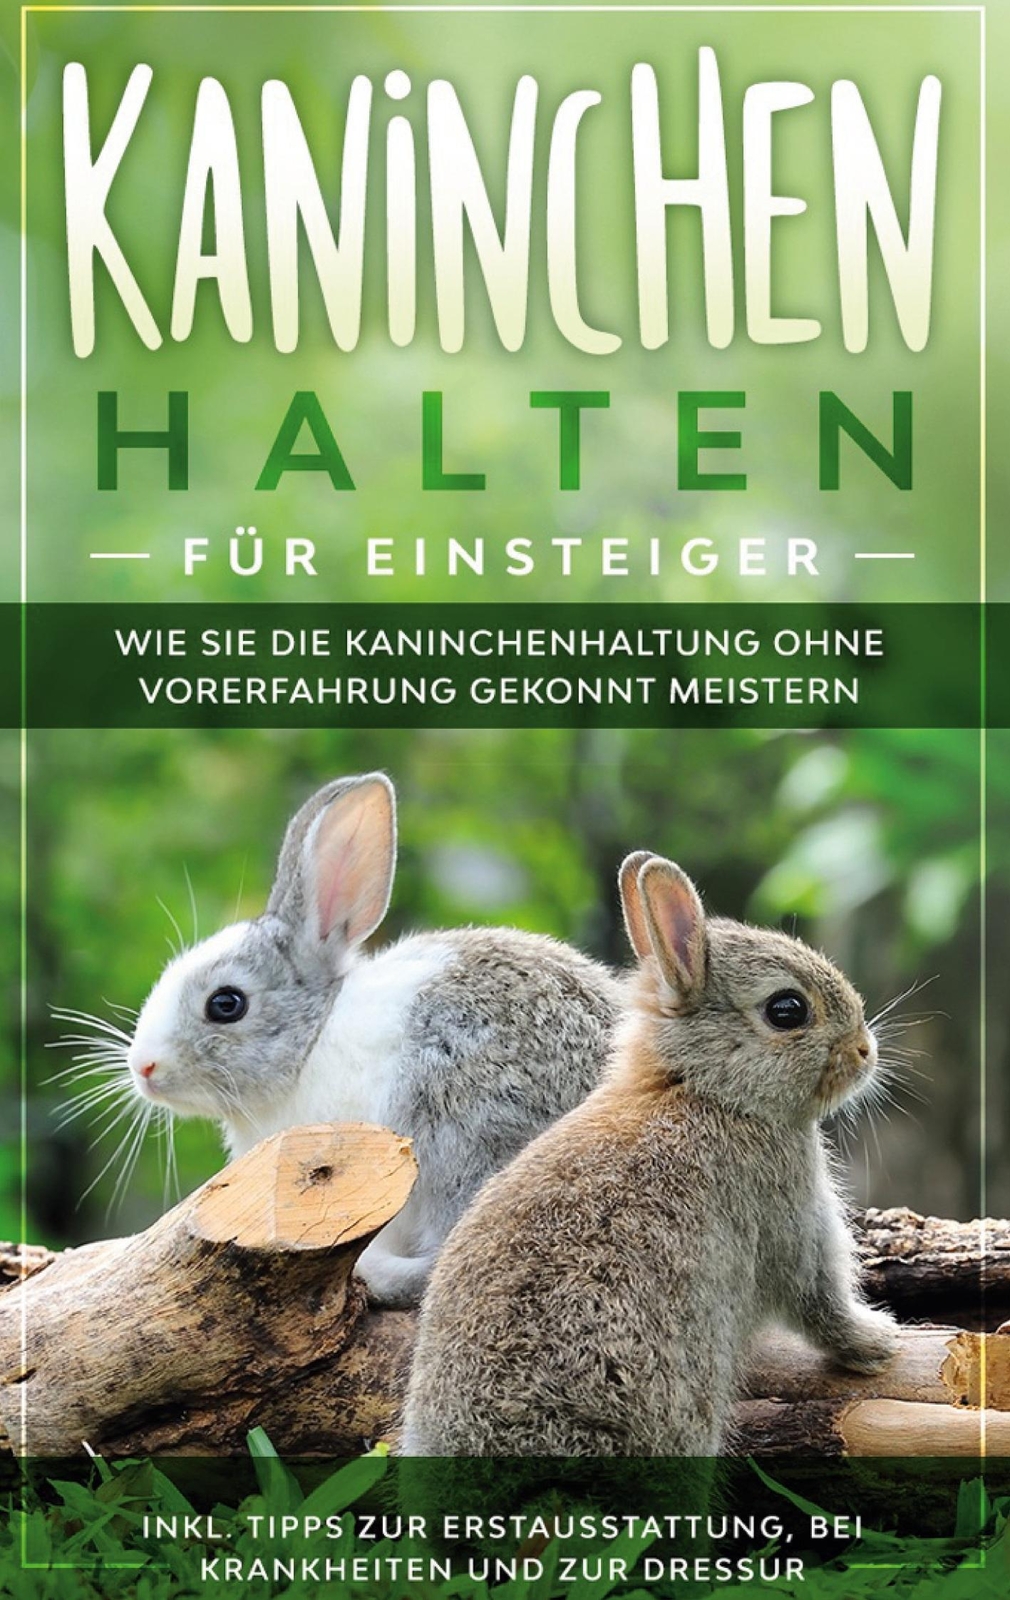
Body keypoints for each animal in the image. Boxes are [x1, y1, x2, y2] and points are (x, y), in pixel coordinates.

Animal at [401, 851, 899, 1455]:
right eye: (787, 1010)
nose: (865, 1050)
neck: (702, 1089)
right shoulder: (791, 1216)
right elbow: (819, 1300)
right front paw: (879, 1343)